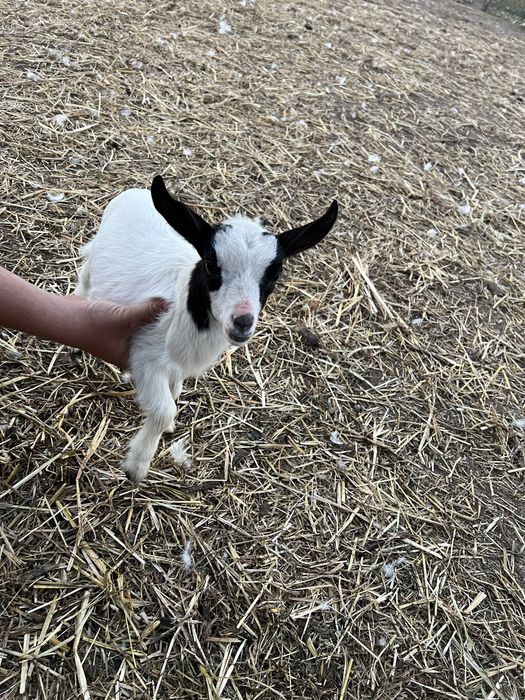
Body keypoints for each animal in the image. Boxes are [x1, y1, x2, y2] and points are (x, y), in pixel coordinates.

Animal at [76, 175, 338, 483]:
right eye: (212, 263)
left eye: (275, 274)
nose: (242, 321)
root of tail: (134, 192)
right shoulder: (145, 355)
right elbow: (164, 410)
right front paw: (137, 466)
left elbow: (175, 391)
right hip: (94, 259)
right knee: (84, 279)